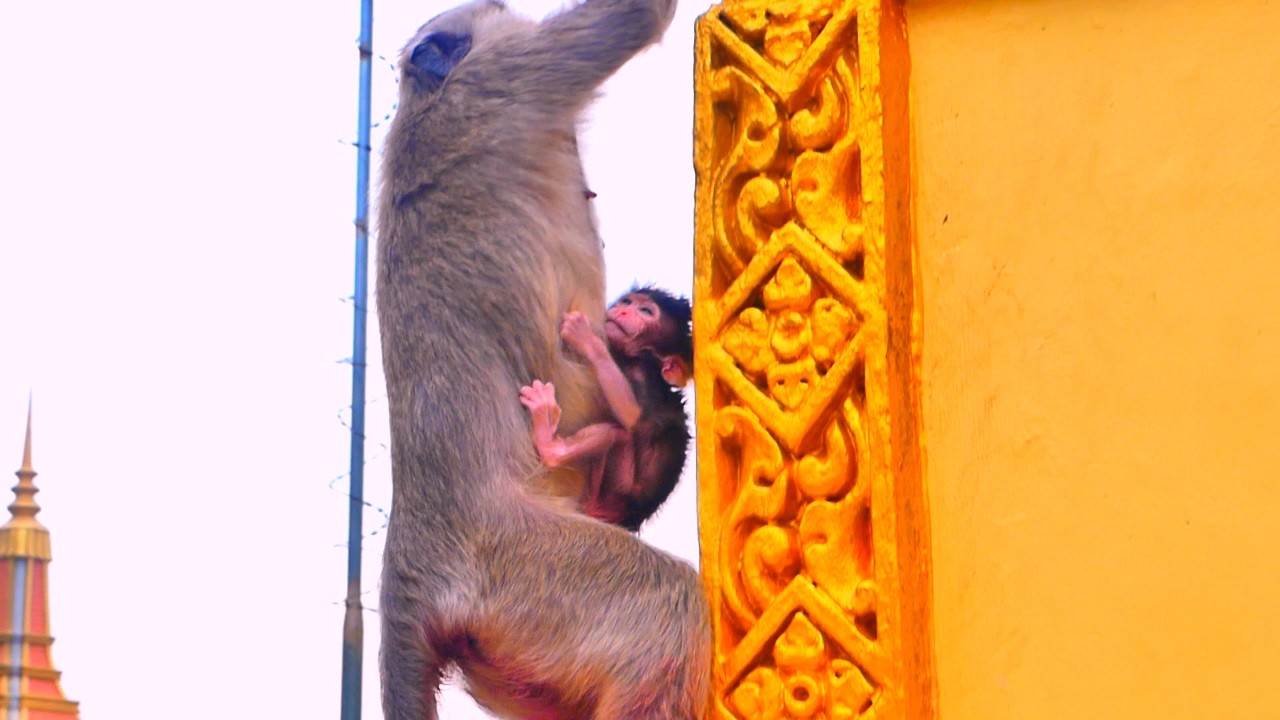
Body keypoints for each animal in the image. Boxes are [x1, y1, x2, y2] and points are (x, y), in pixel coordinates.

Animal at [520, 287, 693, 532]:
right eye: (627, 302)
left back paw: (549, 444)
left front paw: (587, 339)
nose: (623, 310)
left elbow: (632, 416)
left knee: (618, 433)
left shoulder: (643, 371)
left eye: (646, 311)